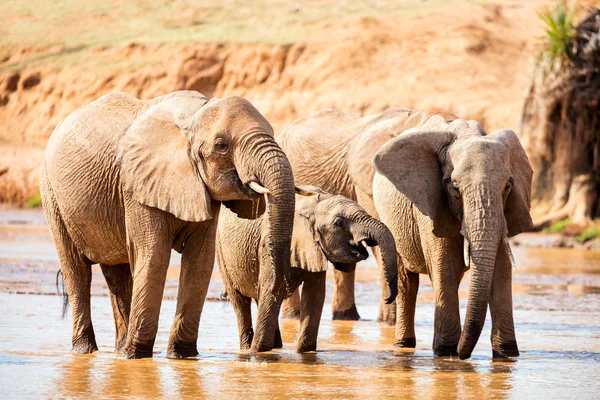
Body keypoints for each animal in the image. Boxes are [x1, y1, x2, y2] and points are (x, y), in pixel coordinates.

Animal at [41, 90, 296, 360]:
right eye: (221, 145)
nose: (280, 284)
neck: (195, 115)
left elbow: (200, 260)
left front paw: (182, 356)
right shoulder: (136, 184)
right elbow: (154, 256)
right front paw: (138, 357)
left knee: (117, 273)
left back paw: (119, 351)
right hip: (52, 195)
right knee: (76, 271)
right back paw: (87, 351)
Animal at [216, 188, 398, 354]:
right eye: (339, 223)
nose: (387, 298)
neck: (311, 207)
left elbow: (314, 295)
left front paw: (305, 351)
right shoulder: (270, 247)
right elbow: (271, 292)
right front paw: (258, 352)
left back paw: (276, 347)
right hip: (222, 253)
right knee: (241, 303)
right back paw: (248, 349)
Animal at [372, 115, 532, 360]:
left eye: (508, 185)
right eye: (454, 187)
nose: (462, 354)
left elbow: (500, 272)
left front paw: (507, 355)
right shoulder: (431, 205)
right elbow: (444, 268)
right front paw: (446, 352)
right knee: (407, 281)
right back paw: (403, 346)